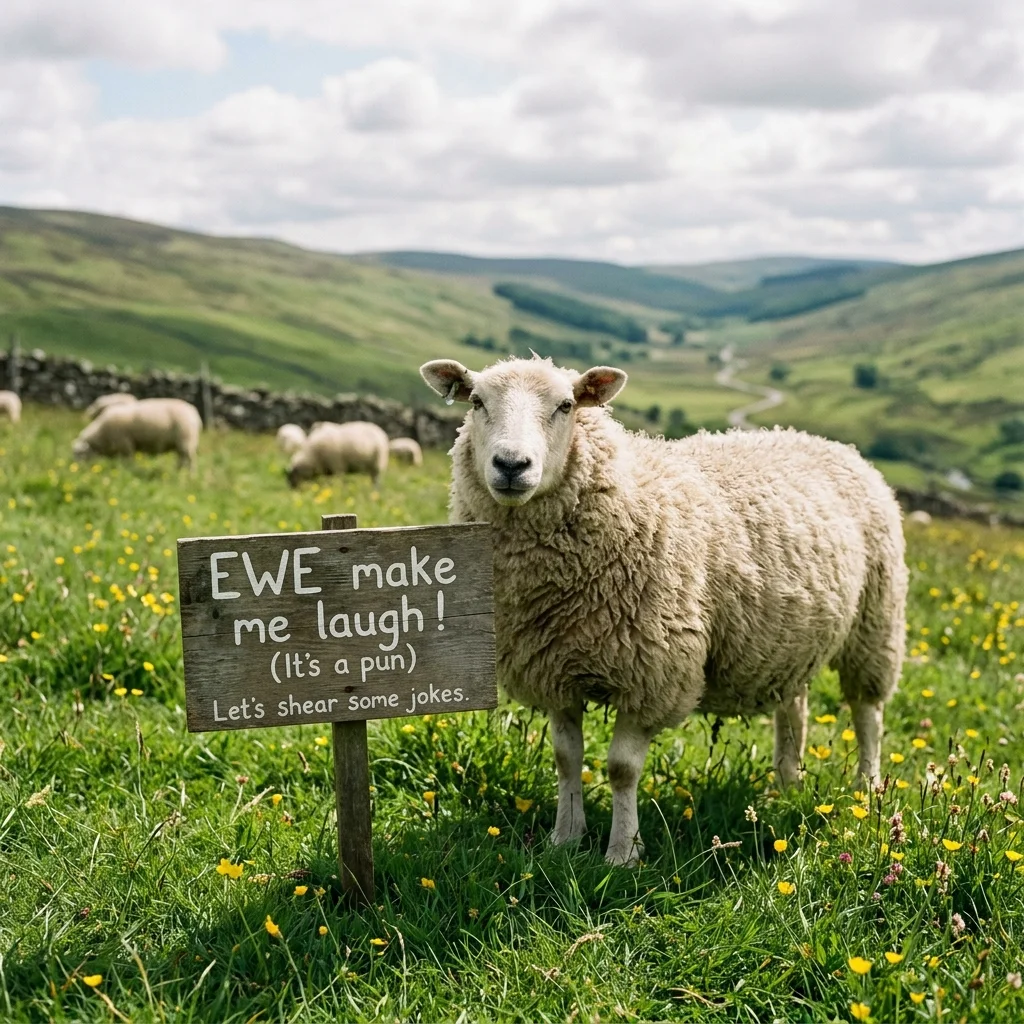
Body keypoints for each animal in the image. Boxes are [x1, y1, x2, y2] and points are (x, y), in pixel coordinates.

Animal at [72, 398, 202, 472]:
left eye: (80, 453)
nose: (75, 469)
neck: (102, 434)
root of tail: (193, 412)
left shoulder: (125, 443)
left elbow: (128, 460)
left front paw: (128, 470)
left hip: (186, 440)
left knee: (191, 460)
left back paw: (190, 476)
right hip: (181, 444)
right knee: (182, 459)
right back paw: (177, 472)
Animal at [421, 356, 908, 867]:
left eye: (566, 405)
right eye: (476, 402)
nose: (512, 465)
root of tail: (824, 441)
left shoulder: (653, 673)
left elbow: (621, 769)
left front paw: (622, 853)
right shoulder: (553, 669)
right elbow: (566, 758)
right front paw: (565, 838)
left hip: (876, 620)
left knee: (867, 713)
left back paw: (867, 789)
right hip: (788, 640)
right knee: (793, 708)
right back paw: (786, 785)